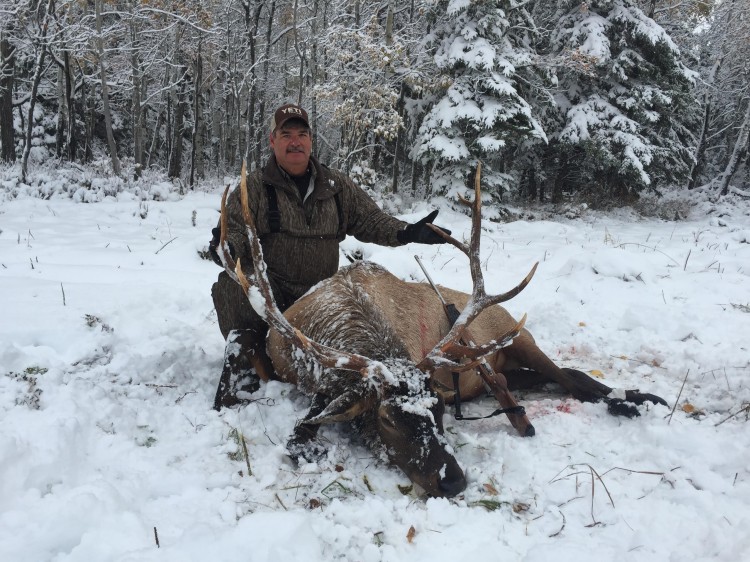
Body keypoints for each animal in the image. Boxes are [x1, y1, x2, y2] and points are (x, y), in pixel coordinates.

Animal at [215, 162, 668, 498]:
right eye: (389, 418)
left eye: (438, 410)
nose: (453, 480)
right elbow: (301, 430)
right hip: (500, 367)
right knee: (550, 378)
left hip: (520, 336)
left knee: (570, 378)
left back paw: (639, 401)